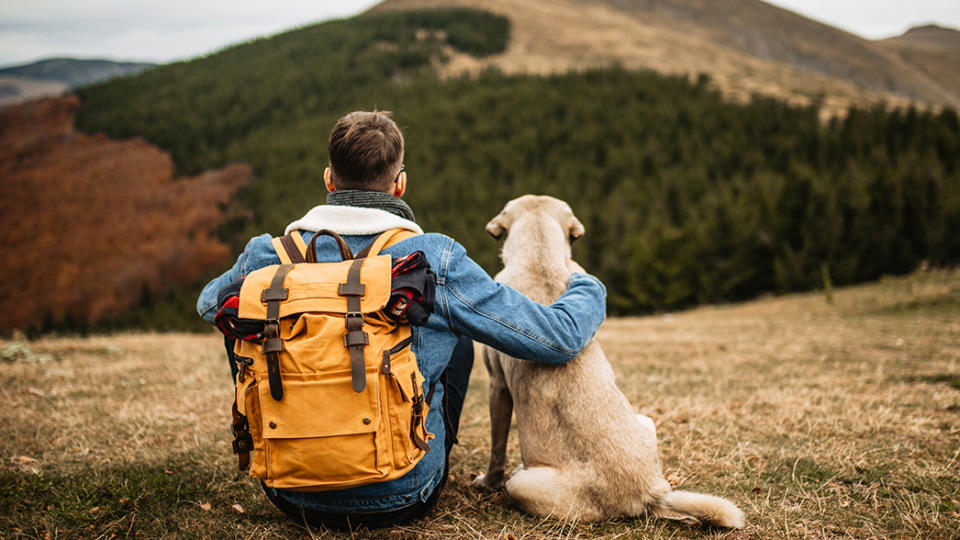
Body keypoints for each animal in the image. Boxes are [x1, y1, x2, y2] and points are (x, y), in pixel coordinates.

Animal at [472, 195, 744, 528]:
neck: (540, 258)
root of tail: (648, 494)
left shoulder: (497, 385)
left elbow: (496, 447)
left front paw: (487, 482)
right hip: (646, 420)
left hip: (522, 483)